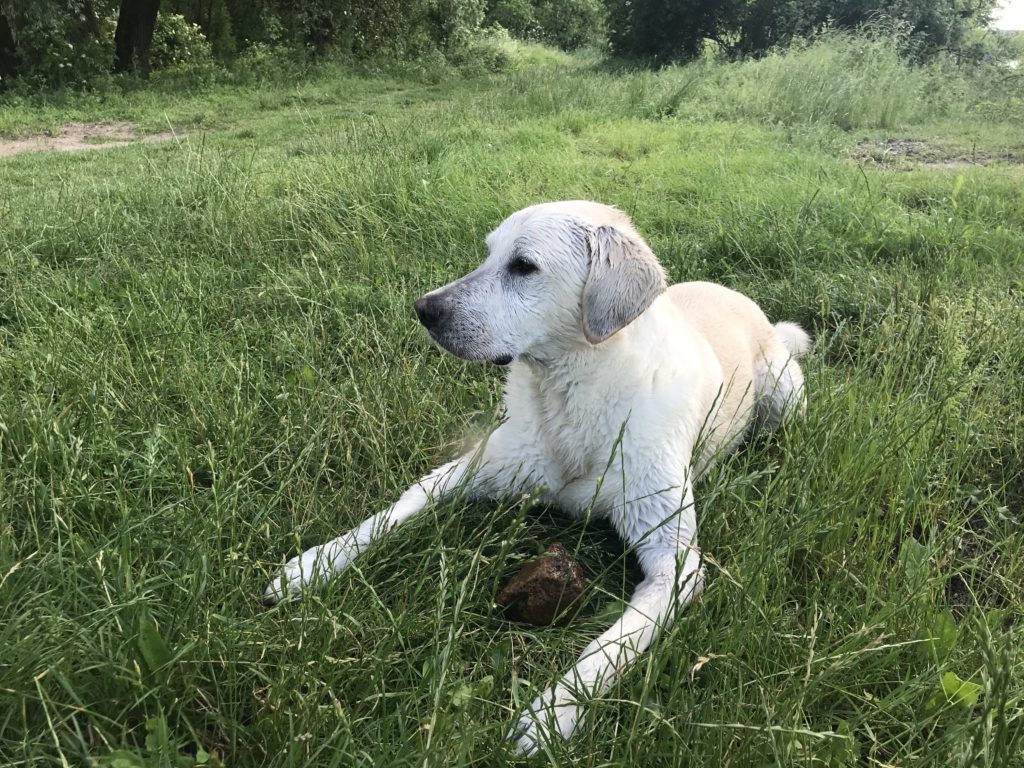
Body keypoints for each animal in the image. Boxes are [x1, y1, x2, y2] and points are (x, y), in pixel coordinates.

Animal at [264, 199, 806, 757]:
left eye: (523, 266)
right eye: (487, 254)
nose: (423, 309)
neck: (571, 396)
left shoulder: (674, 562)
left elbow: (613, 644)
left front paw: (551, 712)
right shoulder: (481, 464)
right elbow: (403, 504)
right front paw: (315, 564)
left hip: (785, 396)